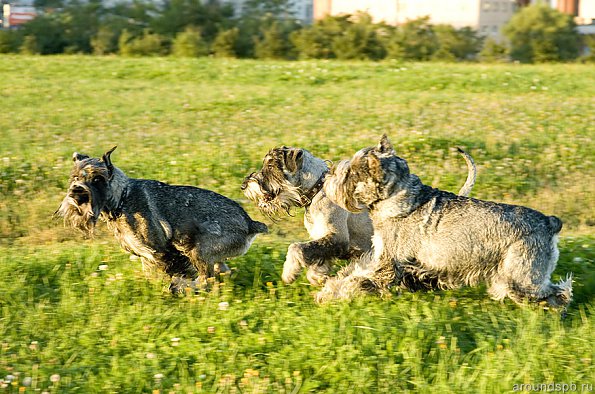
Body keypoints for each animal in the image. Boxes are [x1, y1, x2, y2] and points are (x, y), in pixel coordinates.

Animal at [56, 146, 268, 290]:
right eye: (75, 177)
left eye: (98, 179)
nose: (76, 194)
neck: (121, 198)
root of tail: (250, 223)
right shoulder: (146, 257)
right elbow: (151, 276)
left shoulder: (163, 252)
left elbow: (172, 272)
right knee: (221, 271)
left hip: (198, 251)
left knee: (205, 278)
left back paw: (182, 287)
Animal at [240, 145, 478, 286]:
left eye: (271, 165)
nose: (244, 185)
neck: (317, 188)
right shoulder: (323, 239)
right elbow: (316, 257)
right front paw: (318, 277)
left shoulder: (337, 237)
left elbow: (297, 248)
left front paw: (289, 273)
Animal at [316, 136, 572, 310]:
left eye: (350, 173)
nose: (327, 178)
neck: (396, 198)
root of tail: (550, 223)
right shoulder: (379, 258)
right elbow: (354, 273)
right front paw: (328, 289)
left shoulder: (387, 265)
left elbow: (356, 280)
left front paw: (330, 294)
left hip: (521, 278)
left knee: (558, 292)